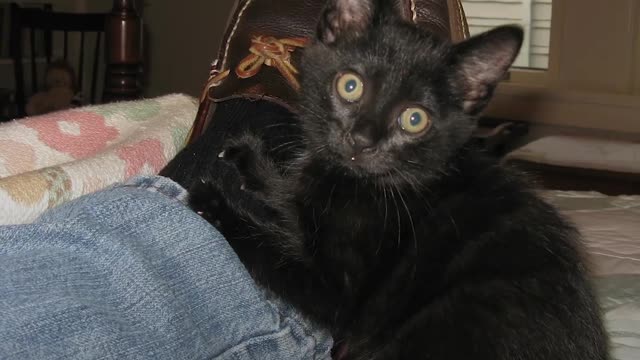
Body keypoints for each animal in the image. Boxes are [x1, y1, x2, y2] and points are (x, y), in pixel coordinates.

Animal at [184, 0, 604, 360]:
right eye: (350, 85)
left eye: (414, 119)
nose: (362, 139)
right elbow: (293, 197)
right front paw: (250, 160)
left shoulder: (341, 297)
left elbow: (272, 249)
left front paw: (215, 204)